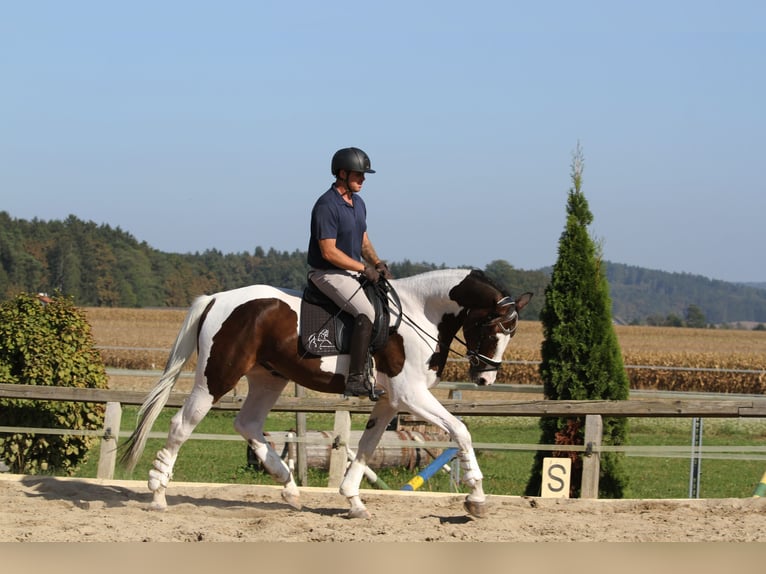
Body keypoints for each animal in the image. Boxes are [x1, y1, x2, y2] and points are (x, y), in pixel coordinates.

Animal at [120, 268, 532, 519]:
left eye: (512, 332)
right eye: (493, 328)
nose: (485, 379)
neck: (422, 312)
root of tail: (217, 299)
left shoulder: (390, 401)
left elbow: (366, 447)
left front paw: (353, 499)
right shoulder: (410, 395)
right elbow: (461, 431)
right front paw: (476, 498)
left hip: (269, 378)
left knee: (248, 424)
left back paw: (288, 486)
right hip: (216, 378)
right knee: (181, 424)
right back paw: (157, 494)